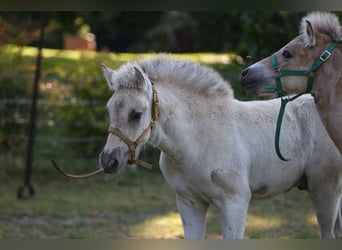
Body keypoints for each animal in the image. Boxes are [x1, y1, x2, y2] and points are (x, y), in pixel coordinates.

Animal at [98, 54, 342, 238]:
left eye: (136, 114)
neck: (198, 140)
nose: (109, 160)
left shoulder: (235, 203)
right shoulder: (189, 203)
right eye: (108, 110)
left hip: (325, 188)